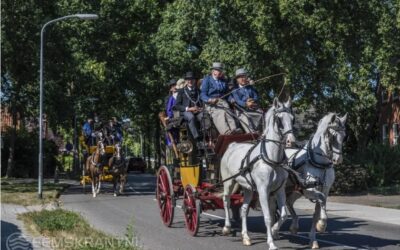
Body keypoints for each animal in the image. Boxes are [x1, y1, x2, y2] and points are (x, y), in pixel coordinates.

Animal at [220, 98, 296, 250]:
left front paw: (274, 230)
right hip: (228, 182)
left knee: (244, 209)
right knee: (226, 200)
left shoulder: (280, 190)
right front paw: (271, 243)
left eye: (292, 118)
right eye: (279, 119)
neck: (272, 158)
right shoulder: (262, 190)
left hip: (247, 188)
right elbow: (267, 217)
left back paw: (246, 237)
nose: (291, 141)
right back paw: (226, 227)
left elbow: (283, 215)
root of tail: (232, 145)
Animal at [284, 113, 346, 248]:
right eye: (332, 136)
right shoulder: (309, 189)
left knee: (288, 202)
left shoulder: (325, 189)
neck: (320, 163)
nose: (338, 159)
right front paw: (322, 225)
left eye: (344, 136)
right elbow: (320, 202)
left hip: (296, 191)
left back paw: (293, 227)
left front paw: (313, 239)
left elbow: (317, 211)